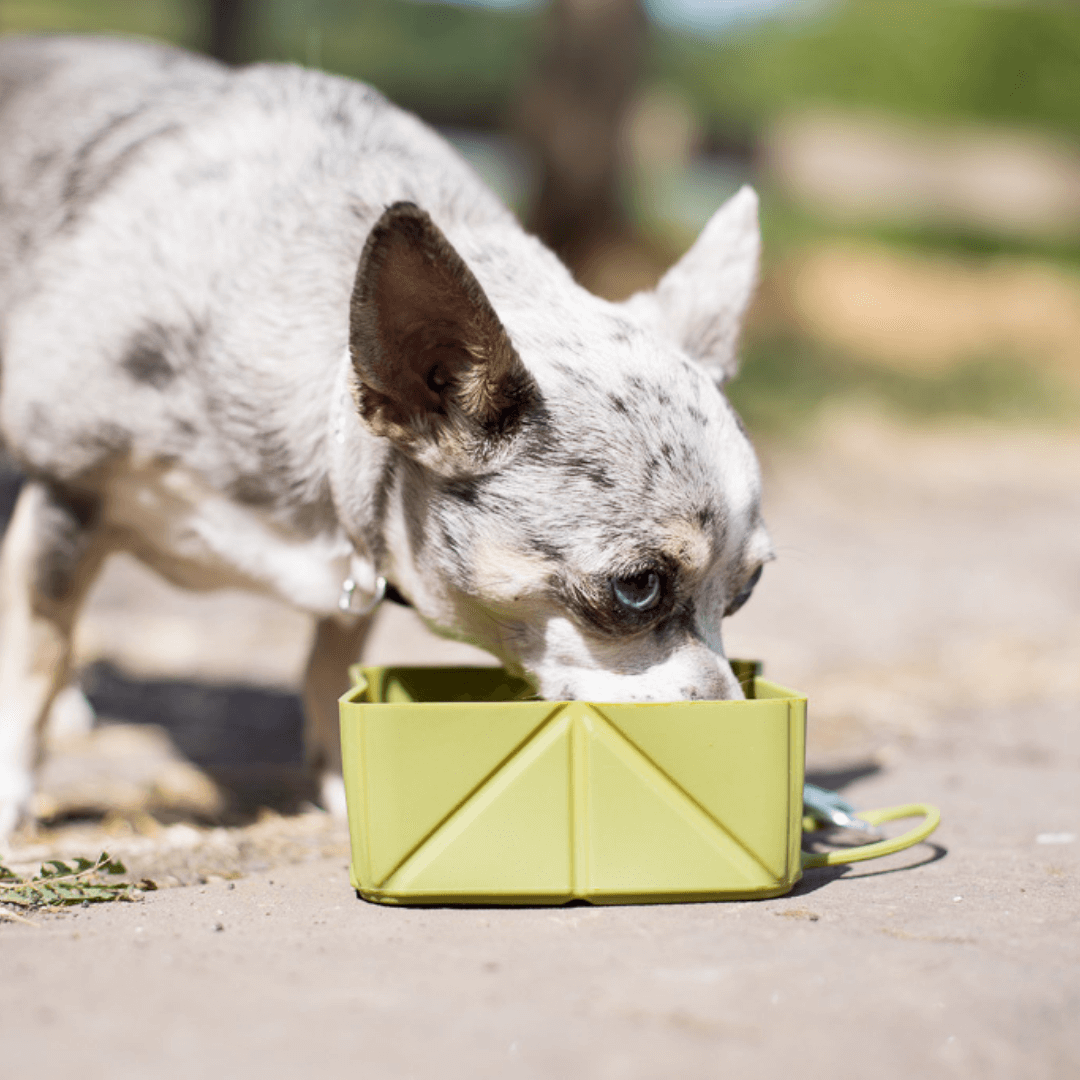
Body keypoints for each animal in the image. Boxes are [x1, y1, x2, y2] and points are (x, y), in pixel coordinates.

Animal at [2, 35, 777, 842]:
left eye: (747, 589)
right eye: (636, 588)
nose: (730, 731)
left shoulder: (363, 558)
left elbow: (328, 668)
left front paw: (345, 785)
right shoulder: (66, 497)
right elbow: (36, 656)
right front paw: (11, 795)